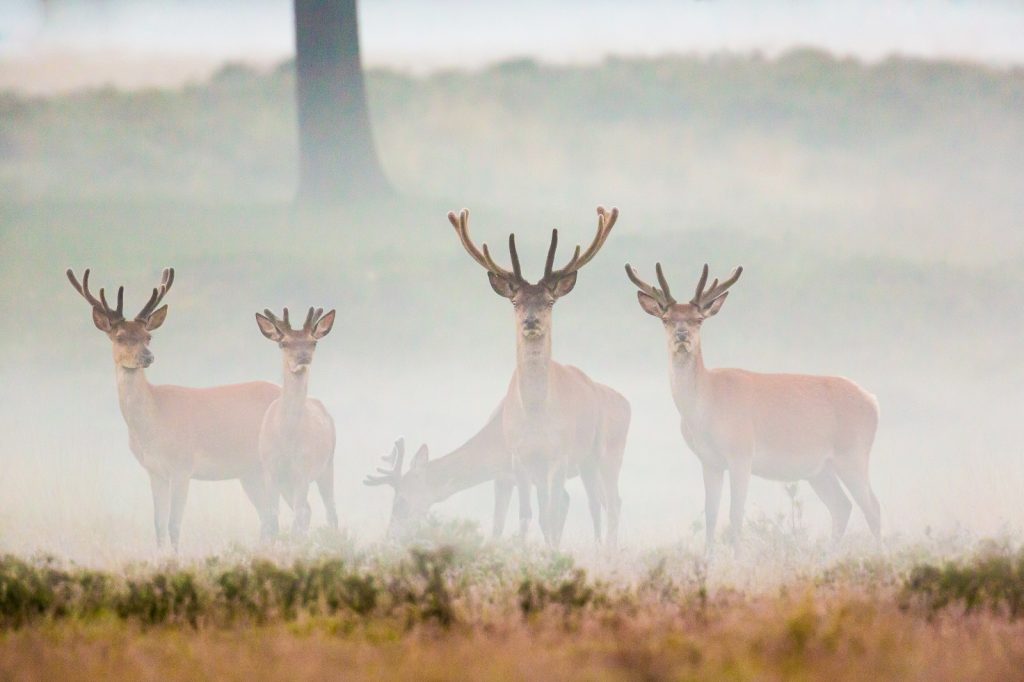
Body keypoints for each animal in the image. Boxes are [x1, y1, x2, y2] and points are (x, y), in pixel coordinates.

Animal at [67, 266, 280, 548]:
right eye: (120, 337)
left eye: (148, 336)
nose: (148, 356)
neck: (154, 424)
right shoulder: (154, 471)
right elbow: (158, 524)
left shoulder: (182, 466)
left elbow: (174, 524)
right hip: (249, 472)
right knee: (268, 518)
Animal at [253, 305, 337, 532]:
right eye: (283, 343)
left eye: (313, 342)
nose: (303, 358)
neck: (287, 437)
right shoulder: (269, 469)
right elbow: (272, 516)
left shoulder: (303, 469)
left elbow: (297, 515)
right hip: (288, 483)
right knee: (307, 510)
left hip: (327, 465)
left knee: (327, 510)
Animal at [440, 204, 630, 544]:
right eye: (515, 301)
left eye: (550, 301)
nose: (531, 321)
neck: (536, 416)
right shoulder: (520, 459)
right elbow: (530, 515)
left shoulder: (559, 455)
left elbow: (551, 516)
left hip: (597, 453)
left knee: (602, 504)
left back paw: (603, 549)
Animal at [622, 260, 880, 552]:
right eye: (666, 319)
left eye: (698, 319)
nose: (681, 335)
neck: (705, 408)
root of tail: (873, 401)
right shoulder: (709, 461)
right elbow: (711, 515)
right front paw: (708, 559)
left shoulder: (741, 452)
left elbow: (735, 515)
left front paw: (736, 556)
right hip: (820, 468)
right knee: (842, 506)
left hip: (854, 453)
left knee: (873, 508)